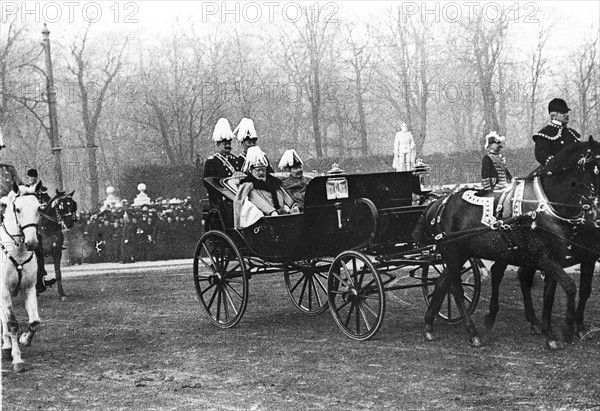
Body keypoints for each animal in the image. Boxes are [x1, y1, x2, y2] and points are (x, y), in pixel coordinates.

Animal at [414, 140, 600, 350]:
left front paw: (558, 330)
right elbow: (569, 287)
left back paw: (429, 327)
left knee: (441, 284)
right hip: (453, 254)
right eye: (596, 167)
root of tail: (440, 202)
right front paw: (565, 330)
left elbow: (556, 292)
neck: (547, 206)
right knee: (457, 290)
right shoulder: (546, 258)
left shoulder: (561, 257)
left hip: (460, 254)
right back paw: (473, 333)